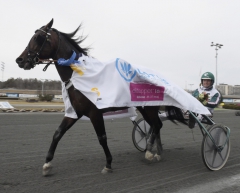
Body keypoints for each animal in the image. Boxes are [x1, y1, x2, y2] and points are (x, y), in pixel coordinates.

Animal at [15, 18, 180, 176]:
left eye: (38, 37)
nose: (20, 60)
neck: (80, 76)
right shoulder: (75, 113)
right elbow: (58, 133)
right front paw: (47, 164)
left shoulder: (95, 113)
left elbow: (102, 137)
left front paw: (108, 164)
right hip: (144, 108)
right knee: (156, 125)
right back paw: (157, 152)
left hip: (149, 107)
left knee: (156, 125)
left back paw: (150, 152)